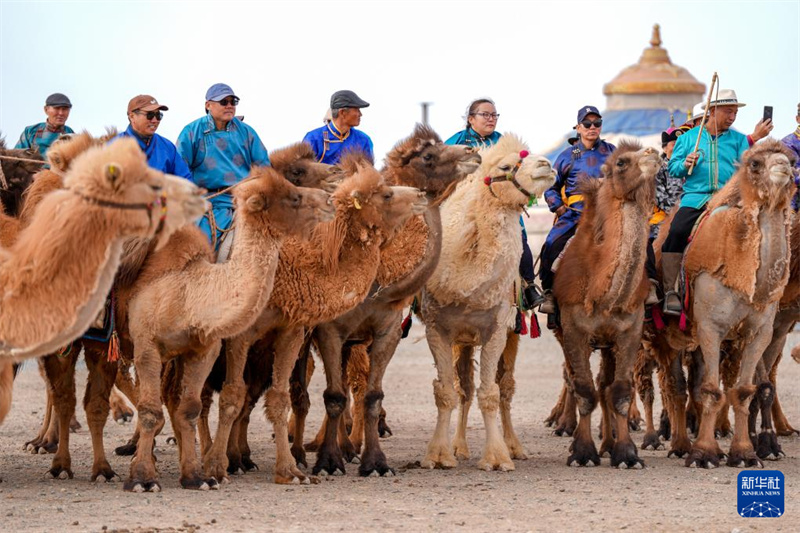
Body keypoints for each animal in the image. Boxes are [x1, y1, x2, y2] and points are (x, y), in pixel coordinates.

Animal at [122, 166, 334, 490]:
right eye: (294, 196)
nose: (330, 199)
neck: (189, 294)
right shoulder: (146, 344)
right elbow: (149, 410)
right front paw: (142, 478)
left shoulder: (205, 348)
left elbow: (190, 407)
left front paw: (196, 476)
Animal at [209, 162, 428, 482]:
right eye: (386, 195)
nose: (420, 194)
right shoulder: (267, 335)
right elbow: (235, 395)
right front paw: (327, 462)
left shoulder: (373, 333)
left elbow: (368, 395)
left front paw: (374, 463)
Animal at [418, 134, 556, 470]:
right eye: (505, 167)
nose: (547, 164)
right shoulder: (436, 329)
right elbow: (446, 392)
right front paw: (438, 455)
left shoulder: (496, 328)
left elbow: (490, 393)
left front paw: (496, 457)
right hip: (462, 341)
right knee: (464, 389)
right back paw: (459, 447)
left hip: (512, 332)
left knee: (504, 388)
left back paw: (514, 446)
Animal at [552, 143, 660, 468]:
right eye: (622, 162)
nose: (654, 152)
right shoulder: (574, 330)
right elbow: (585, 390)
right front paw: (582, 452)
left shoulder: (629, 330)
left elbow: (620, 391)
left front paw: (626, 453)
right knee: (577, 379)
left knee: (605, 384)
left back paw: (608, 444)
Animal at [648, 139, 792, 468]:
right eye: (755, 163)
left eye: (791, 160)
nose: (784, 168)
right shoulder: (711, 327)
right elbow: (712, 390)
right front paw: (702, 454)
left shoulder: (759, 332)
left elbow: (743, 391)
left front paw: (744, 454)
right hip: (666, 334)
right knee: (675, 385)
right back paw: (680, 445)